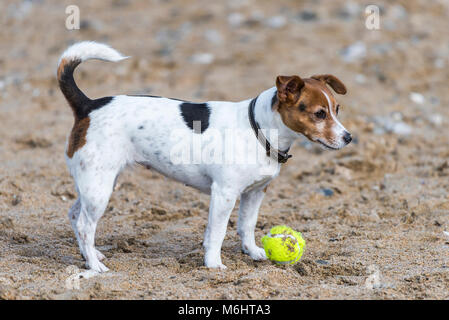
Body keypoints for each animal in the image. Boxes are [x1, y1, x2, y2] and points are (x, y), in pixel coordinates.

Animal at [57, 41, 350, 272]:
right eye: (319, 114)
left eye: (337, 109)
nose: (348, 137)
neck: (258, 128)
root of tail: (88, 105)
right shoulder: (224, 194)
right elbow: (217, 233)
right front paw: (213, 264)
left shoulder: (255, 192)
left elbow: (247, 225)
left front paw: (252, 251)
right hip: (99, 187)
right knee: (84, 225)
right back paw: (94, 265)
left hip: (96, 184)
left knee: (74, 214)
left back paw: (91, 255)